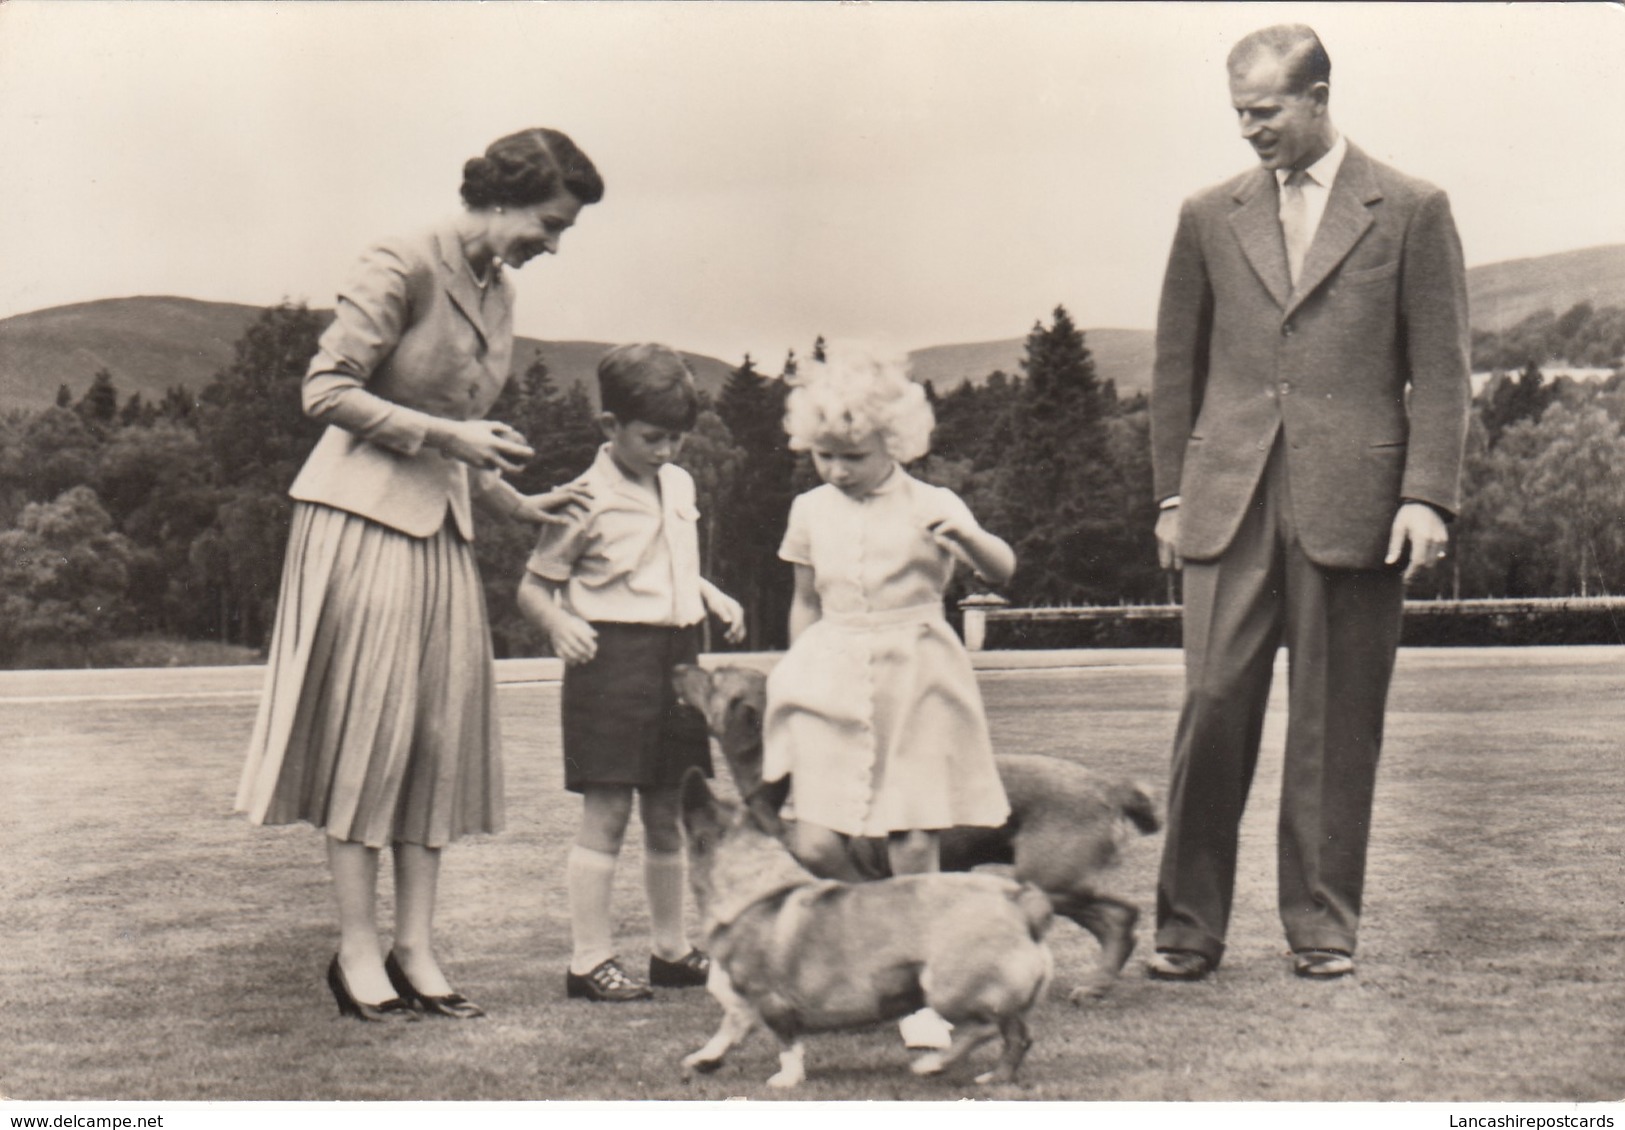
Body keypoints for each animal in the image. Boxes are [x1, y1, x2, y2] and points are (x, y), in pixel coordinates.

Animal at [676, 770, 1046, 1086]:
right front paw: (703, 1059)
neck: (754, 889)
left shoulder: (771, 1001)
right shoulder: (742, 1006)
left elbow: (787, 1045)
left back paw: (933, 1064)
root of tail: (1020, 904)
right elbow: (727, 1032)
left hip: (947, 989)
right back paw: (996, 1076)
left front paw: (787, 1079)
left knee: (984, 1028)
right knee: (1018, 1035)